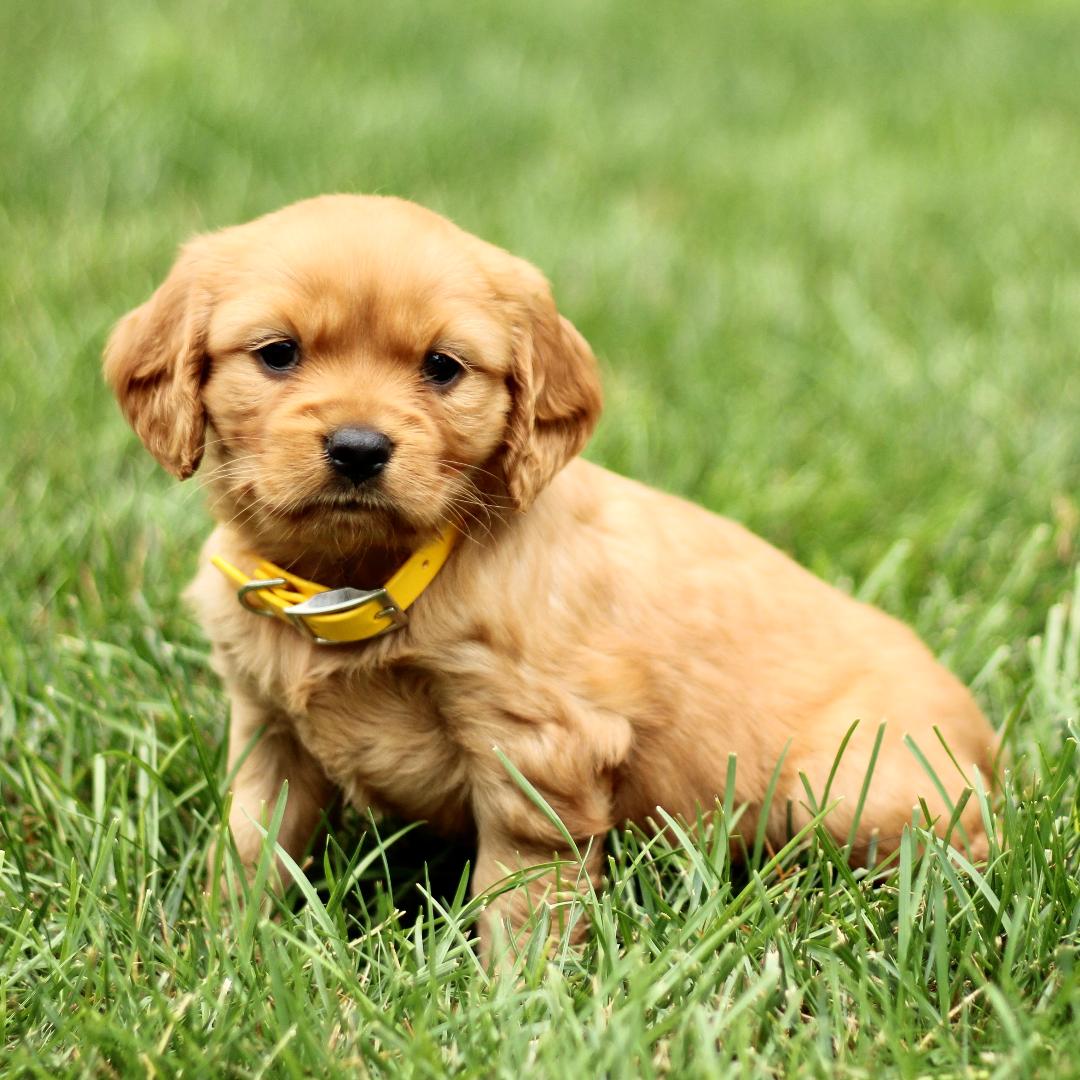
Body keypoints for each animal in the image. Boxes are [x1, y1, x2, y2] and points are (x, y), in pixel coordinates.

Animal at [105, 198, 997, 959]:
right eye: (278, 354)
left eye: (442, 367)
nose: (359, 448)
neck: (363, 578)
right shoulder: (268, 732)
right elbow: (249, 846)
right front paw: (224, 951)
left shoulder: (538, 749)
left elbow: (520, 896)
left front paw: (512, 1001)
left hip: (851, 790)